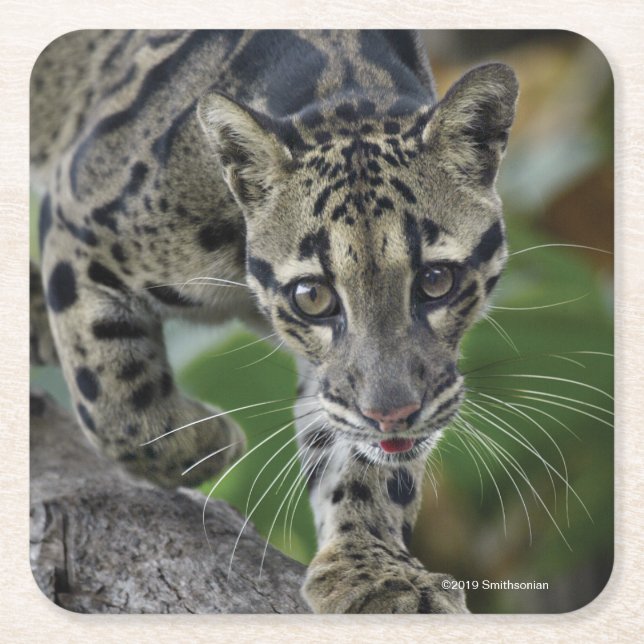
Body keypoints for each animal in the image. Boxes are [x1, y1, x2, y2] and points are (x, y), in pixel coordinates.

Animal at [30, 29, 518, 613]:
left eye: (436, 280)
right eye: (313, 296)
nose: (394, 415)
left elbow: (357, 458)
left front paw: (375, 570)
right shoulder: (76, 223)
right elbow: (117, 402)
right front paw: (212, 443)